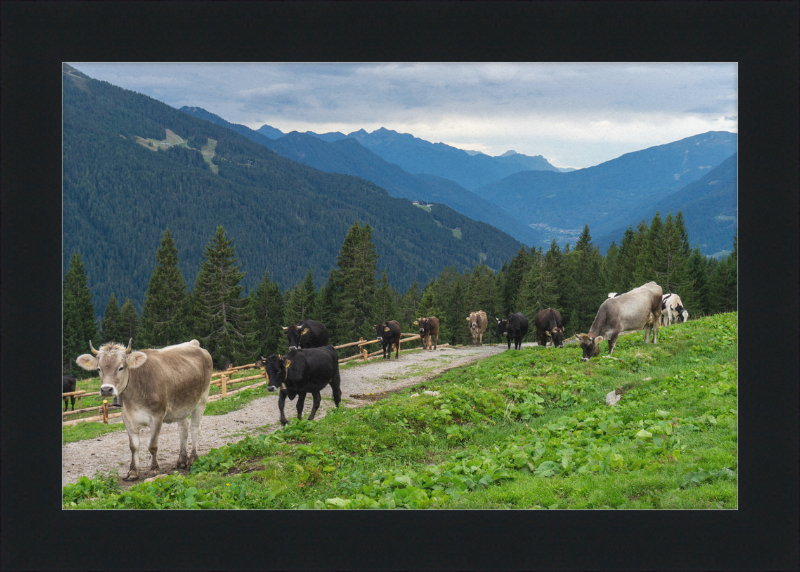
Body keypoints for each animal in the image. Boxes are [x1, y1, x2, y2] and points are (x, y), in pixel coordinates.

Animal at [74, 338, 211, 480]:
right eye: (99, 369)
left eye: (121, 368)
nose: (106, 389)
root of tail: (194, 343)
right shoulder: (127, 418)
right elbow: (133, 446)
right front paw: (133, 472)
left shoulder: (157, 417)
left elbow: (152, 446)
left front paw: (154, 469)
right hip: (181, 407)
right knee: (183, 430)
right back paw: (182, 461)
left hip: (202, 399)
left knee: (195, 428)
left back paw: (192, 460)